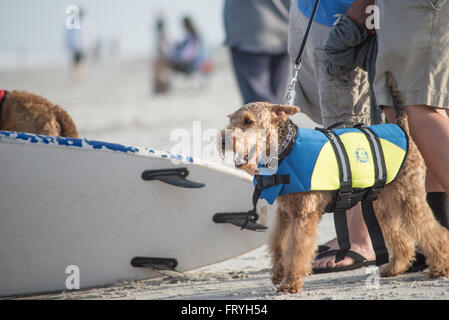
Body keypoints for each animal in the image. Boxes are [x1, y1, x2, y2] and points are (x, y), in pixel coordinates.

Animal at [220, 73, 448, 296]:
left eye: (248, 121)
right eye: (231, 119)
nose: (222, 141)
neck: (286, 147)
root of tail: (403, 128)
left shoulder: (303, 216)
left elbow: (296, 251)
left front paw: (290, 283)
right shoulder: (284, 214)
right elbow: (278, 244)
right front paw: (278, 274)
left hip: (409, 198)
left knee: (432, 231)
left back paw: (440, 267)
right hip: (382, 204)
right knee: (402, 239)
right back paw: (394, 267)